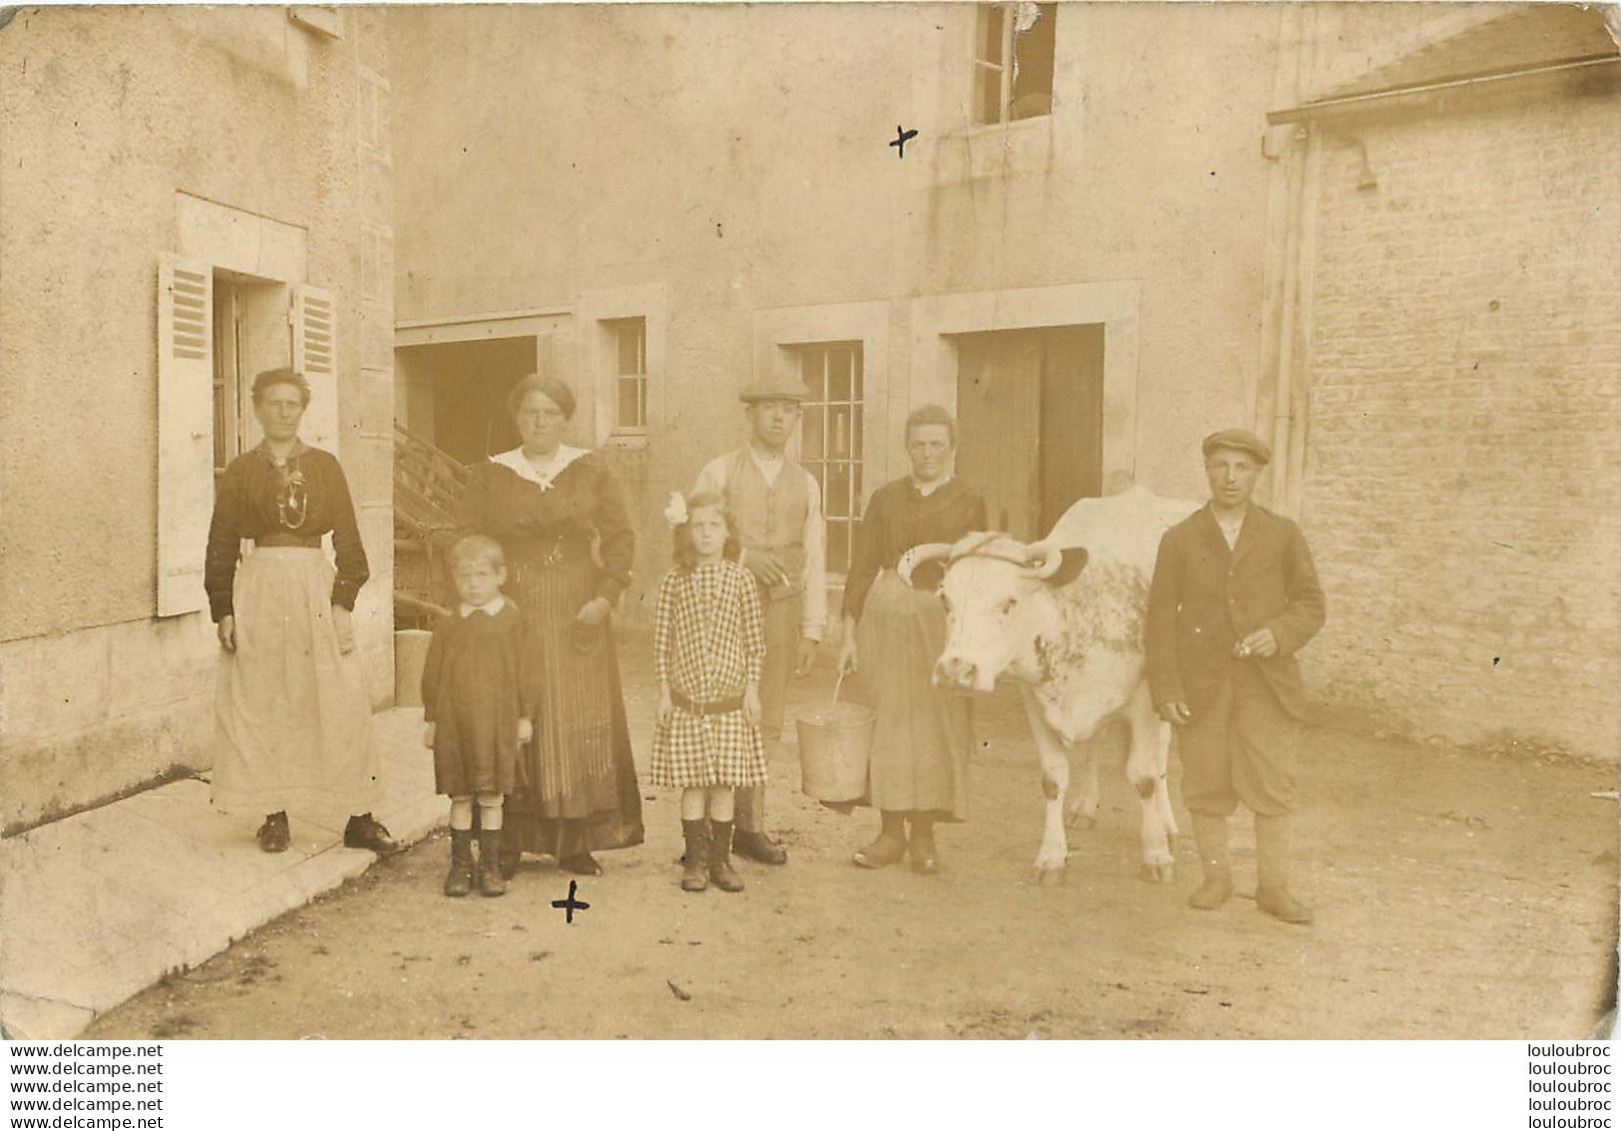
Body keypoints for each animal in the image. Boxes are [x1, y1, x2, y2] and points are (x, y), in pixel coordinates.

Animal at [901, 482, 1206, 881]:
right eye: (944, 600)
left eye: (1009, 602)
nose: (956, 669)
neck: (1074, 608)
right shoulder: (1036, 698)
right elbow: (1052, 777)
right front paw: (1051, 857)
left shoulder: (1144, 698)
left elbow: (1145, 775)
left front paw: (1155, 855)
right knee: (1095, 743)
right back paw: (1085, 807)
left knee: (1161, 755)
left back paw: (1168, 824)